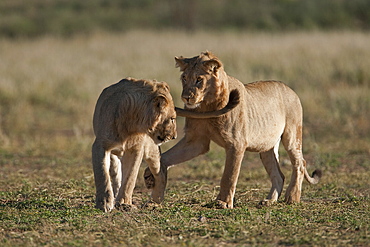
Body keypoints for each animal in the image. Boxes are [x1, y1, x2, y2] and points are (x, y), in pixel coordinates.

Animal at [91, 76, 238, 212]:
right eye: (172, 119)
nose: (174, 136)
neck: (132, 123)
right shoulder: (100, 145)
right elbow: (102, 174)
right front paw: (105, 203)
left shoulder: (136, 149)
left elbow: (130, 178)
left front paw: (124, 203)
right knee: (115, 170)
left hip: (152, 149)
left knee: (160, 171)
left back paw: (155, 202)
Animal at [145, 51, 320, 208]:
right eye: (184, 78)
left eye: (199, 80)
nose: (186, 97)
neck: (207, 106)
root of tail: (290, 89)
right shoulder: (196, 141)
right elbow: (166, 157)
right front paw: (150, 175)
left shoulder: (236, 144)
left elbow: (229, 175)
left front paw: (223, 202)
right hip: (266, 147)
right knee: (279, 174)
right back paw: (269, 201)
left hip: (292, 136)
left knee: (300, 163)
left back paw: (292, 197)